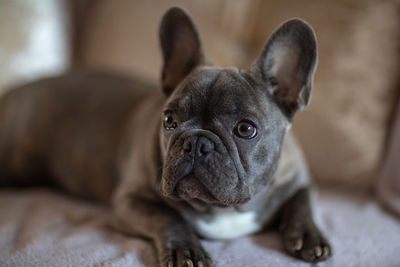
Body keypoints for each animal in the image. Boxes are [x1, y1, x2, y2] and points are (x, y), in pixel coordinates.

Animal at [0, 6, 332, 267]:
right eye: (169, 120)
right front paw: (186, 250)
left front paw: (308, 235)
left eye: (245, 129)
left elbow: (302, 201)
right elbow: (168, 217)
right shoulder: (130, 200)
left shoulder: (300, 177)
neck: (223, 210)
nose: (196, 142)